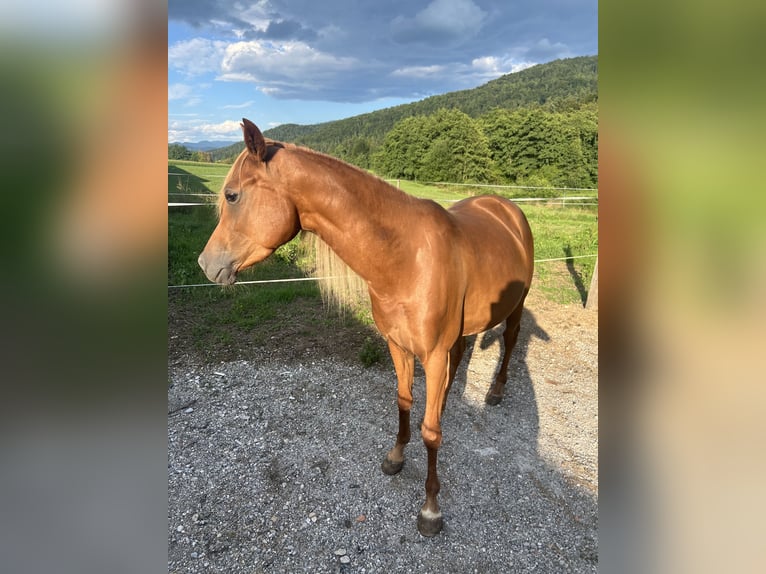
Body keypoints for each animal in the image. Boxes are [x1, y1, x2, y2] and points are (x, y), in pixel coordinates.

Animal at [198, 119, 535, 537]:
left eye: (231, 195)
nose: (205, 264)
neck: (406, 257)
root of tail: (507, 208)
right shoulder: (398, 345)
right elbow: (404, 401)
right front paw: (396, 456)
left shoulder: (432, 354)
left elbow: (431, 434)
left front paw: (430, 509)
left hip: (516, 307)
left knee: (510, 341)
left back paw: (496, 391)